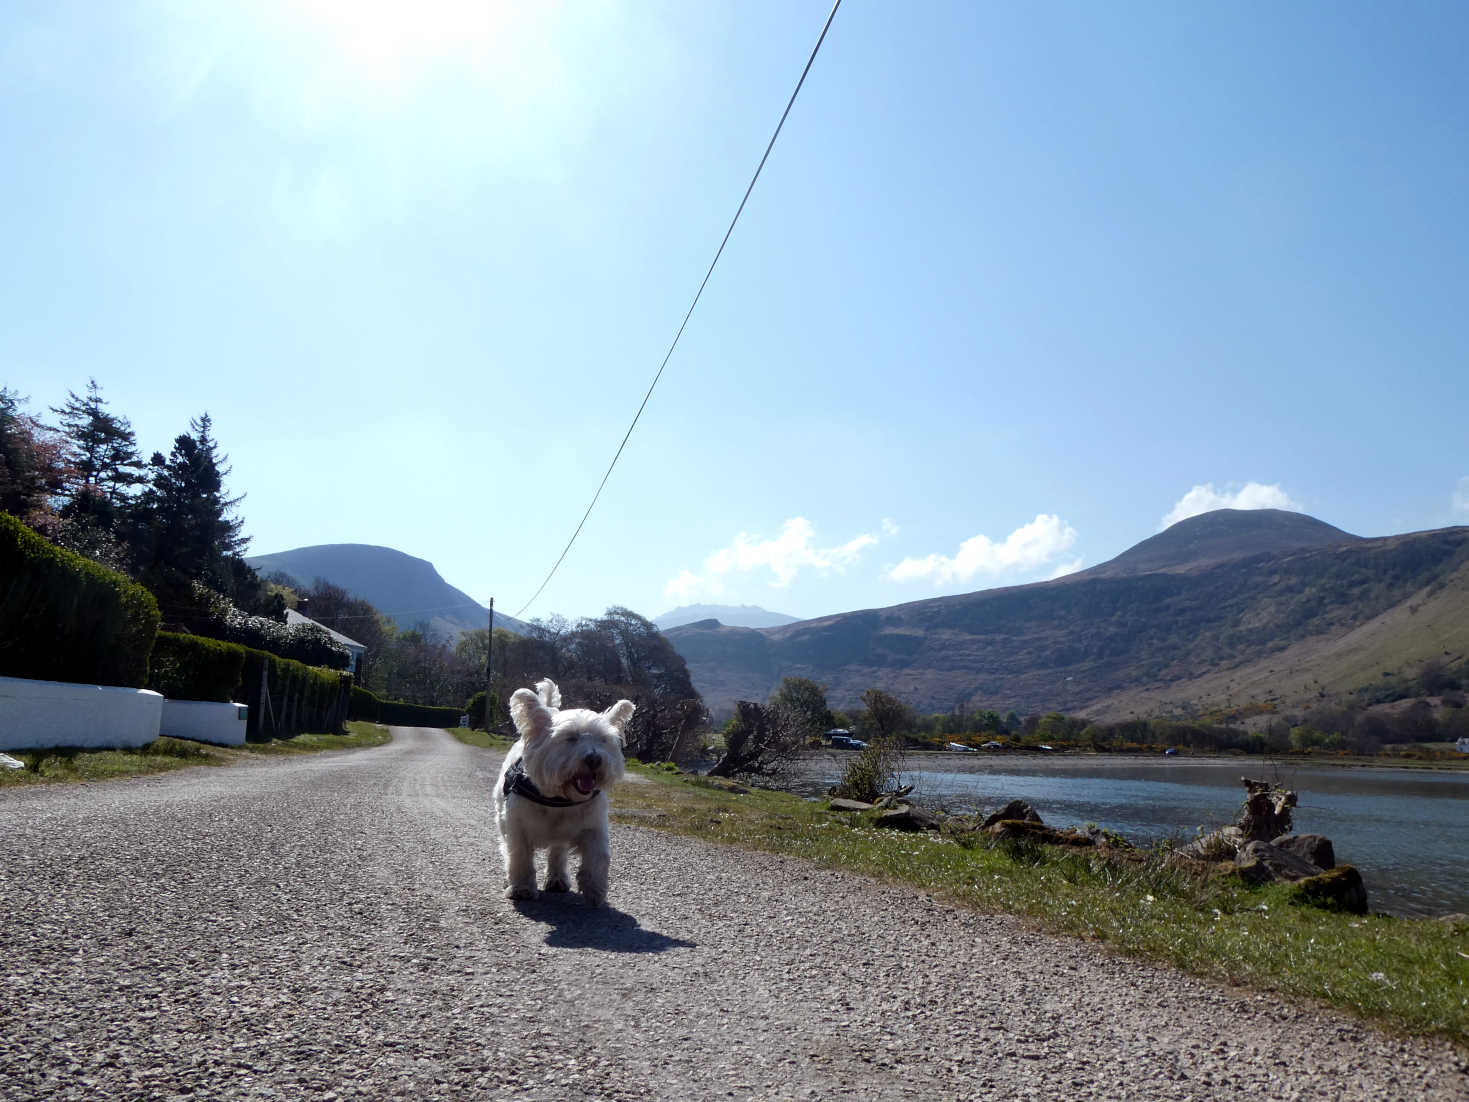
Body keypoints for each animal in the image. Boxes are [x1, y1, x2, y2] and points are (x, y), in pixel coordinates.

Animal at [493, 681, 631, 905]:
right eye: (571, 738)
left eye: (603, 740)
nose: (594, 759)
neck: (559, 799)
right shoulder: (518, 827)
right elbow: (520, 858)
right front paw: (522, 888)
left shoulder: (594, 826)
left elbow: (598, 857)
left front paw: (595, 890)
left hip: (560, 839)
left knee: (557, 853)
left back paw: (557, 879)